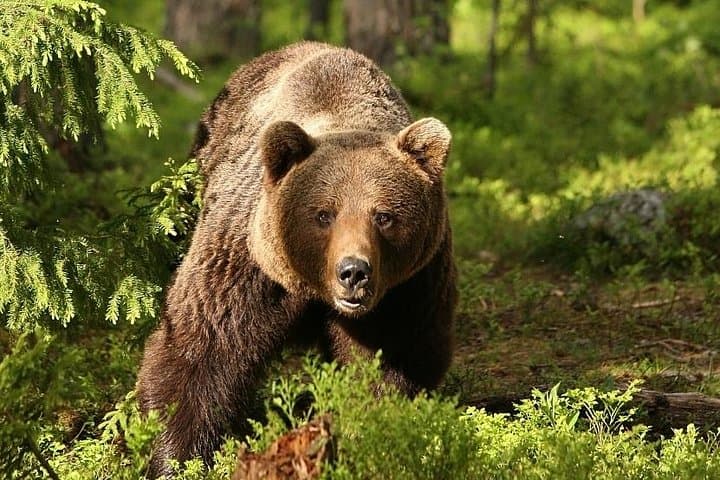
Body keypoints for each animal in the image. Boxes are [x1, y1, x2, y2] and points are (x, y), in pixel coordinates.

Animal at [136, 41, 457, 478]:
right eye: (323, 214)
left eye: (384, 216)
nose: (353, 272)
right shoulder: (247, 264)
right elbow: (201, 348)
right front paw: (175, 457)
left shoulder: (408, 285)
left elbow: (391, 360)